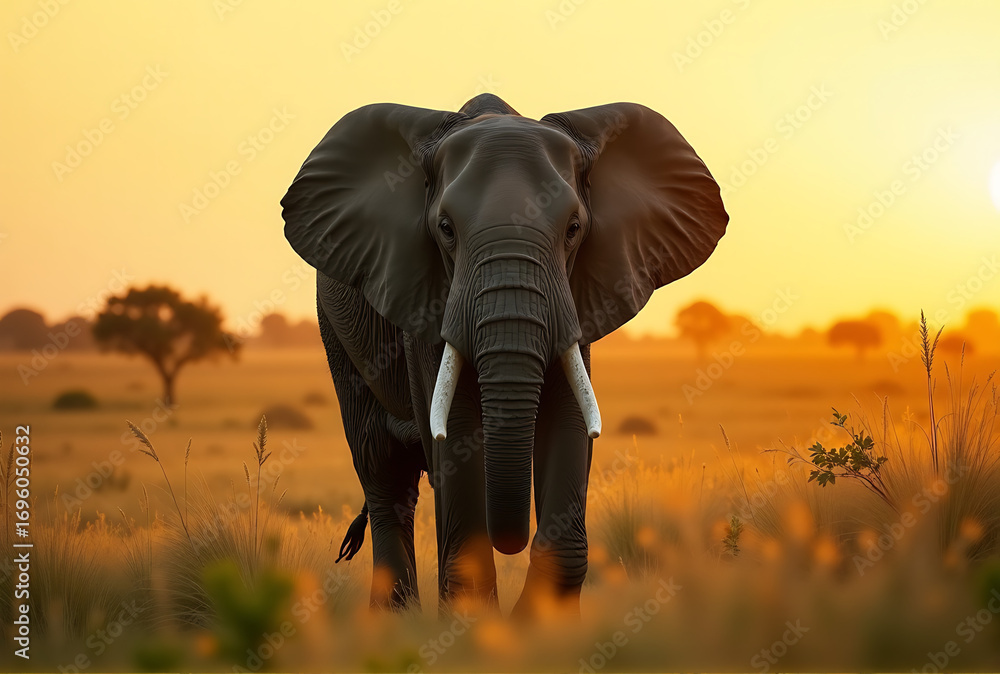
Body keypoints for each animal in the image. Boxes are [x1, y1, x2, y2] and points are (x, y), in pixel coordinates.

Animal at [280, 93, 727, 616]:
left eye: (574, 228)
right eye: (445, 229)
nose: (510, 541)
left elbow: (569, 420)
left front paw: (540, 625)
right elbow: (455, 430)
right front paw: (470, 625)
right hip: (335, 331)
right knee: (383, 471)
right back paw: (394, 619)